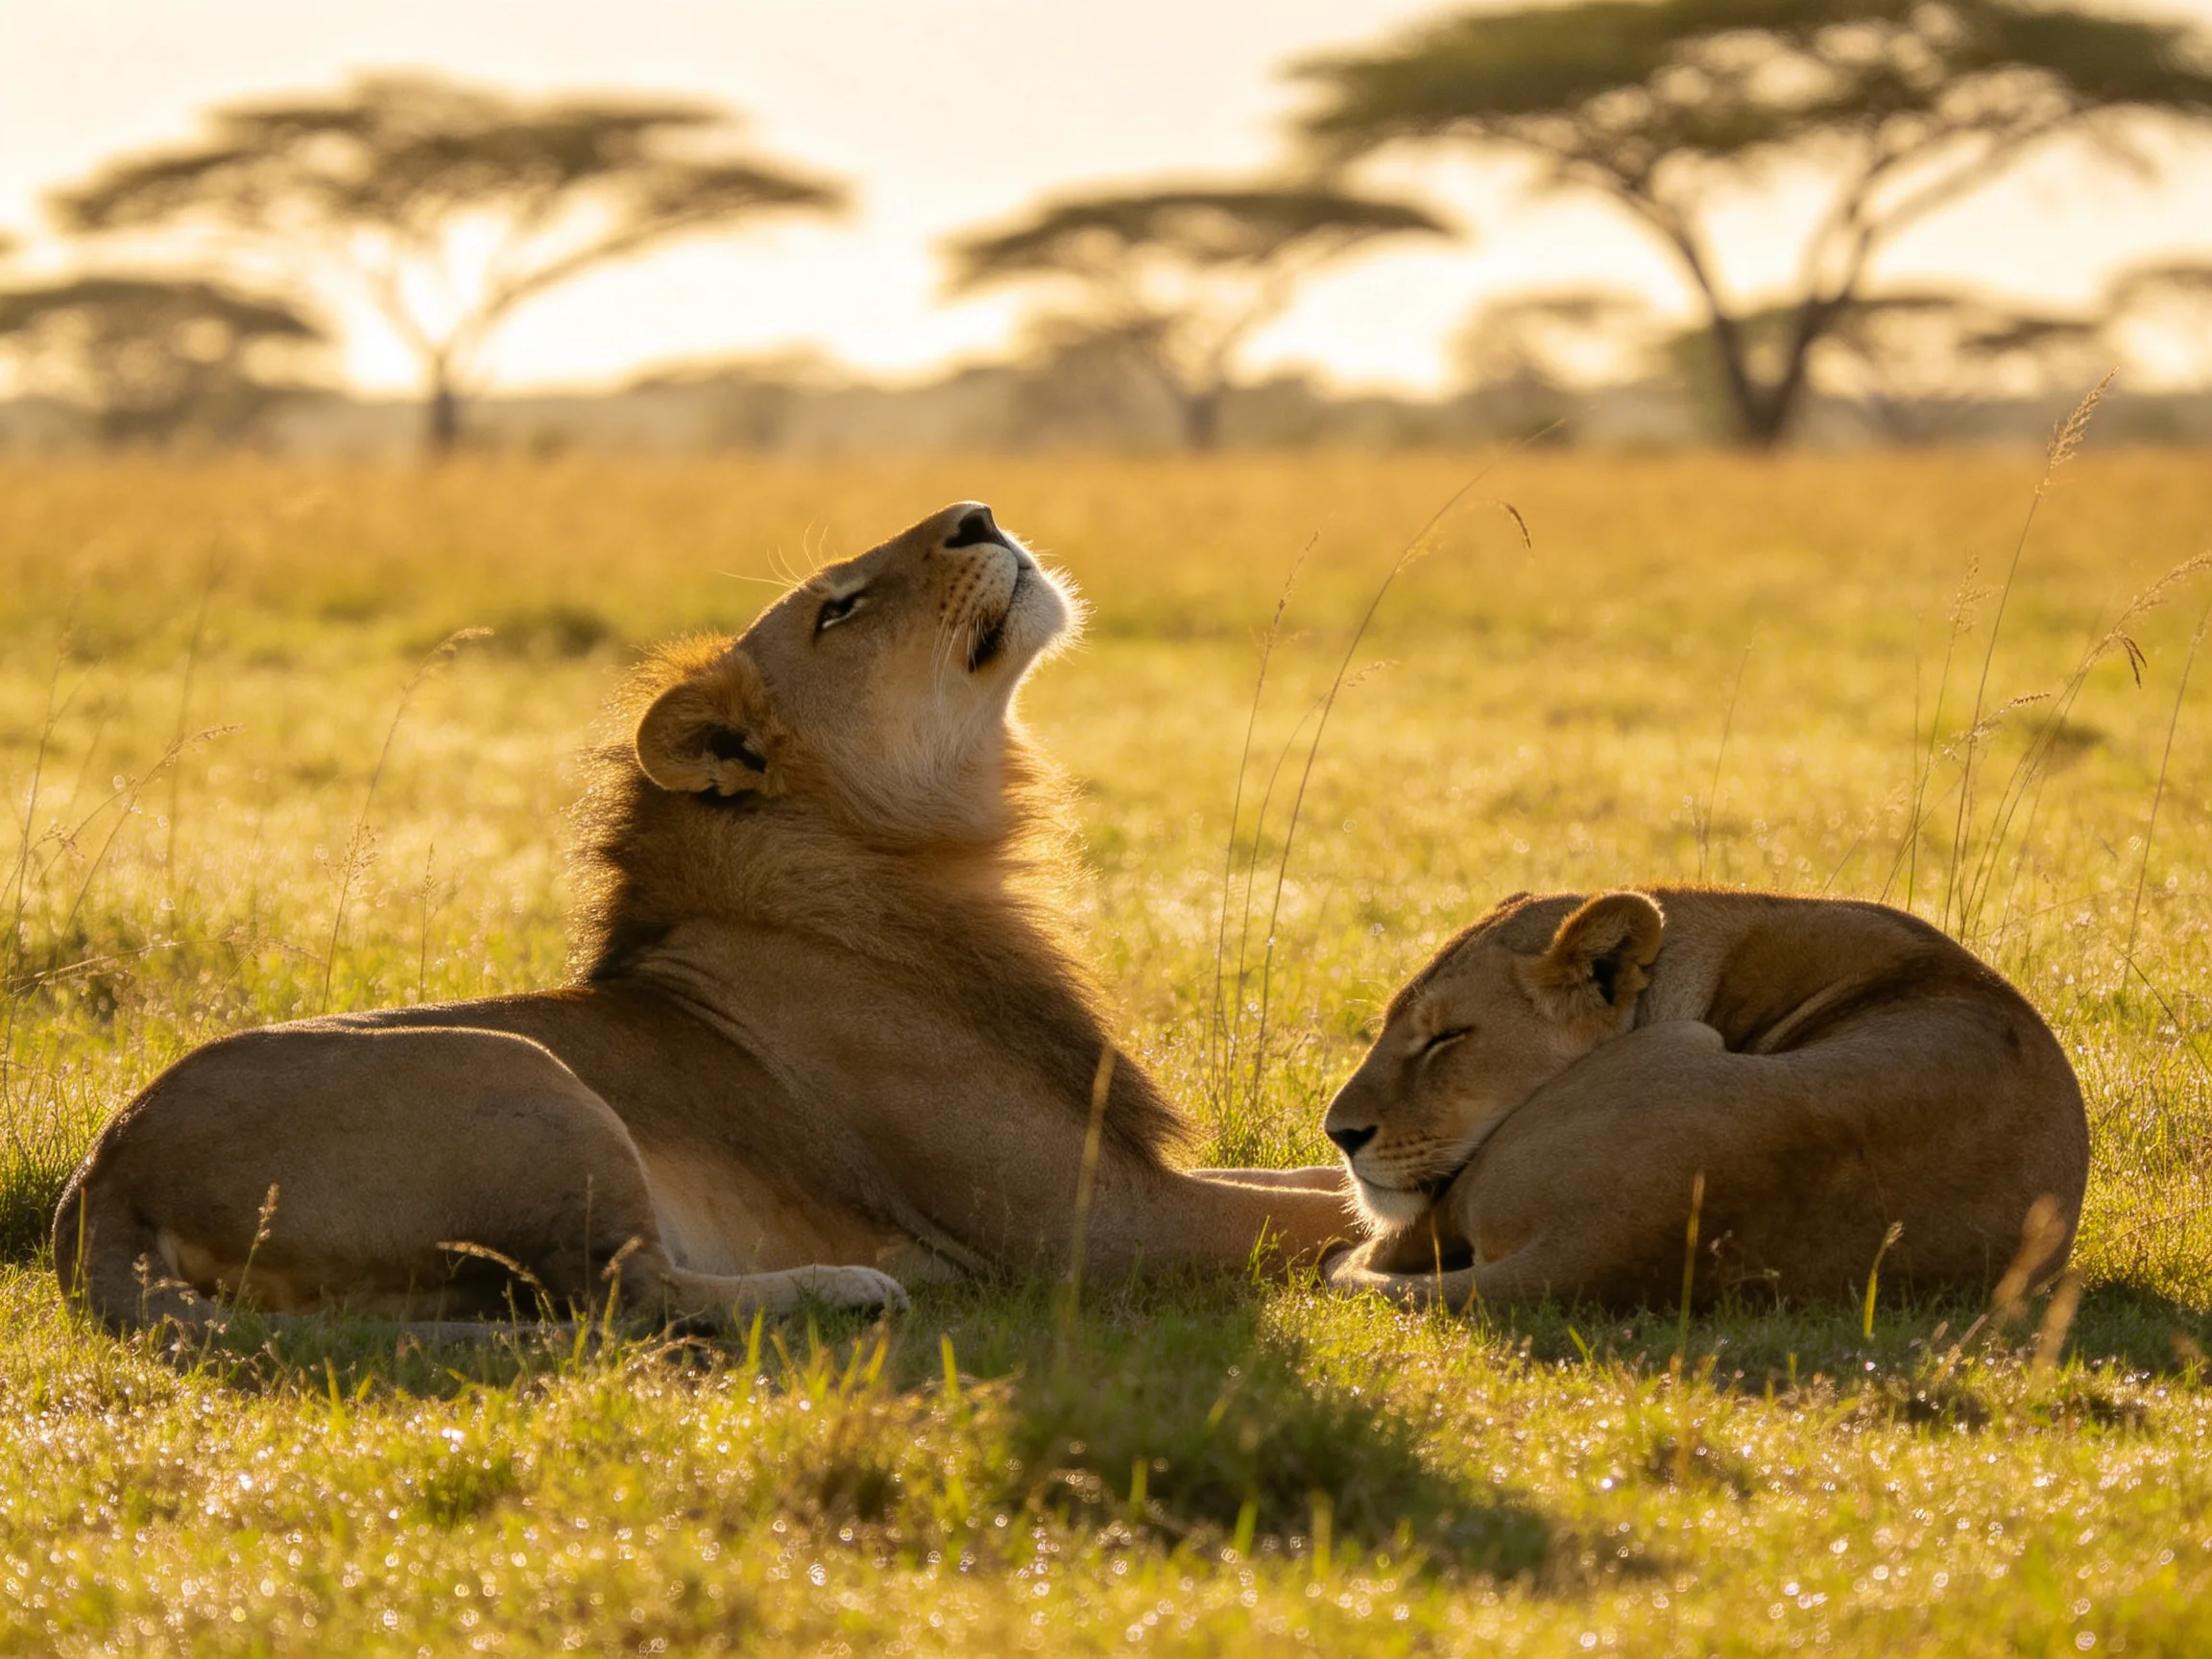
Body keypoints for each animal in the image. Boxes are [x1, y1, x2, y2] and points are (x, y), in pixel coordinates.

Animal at [53, 502, 1352, 1334]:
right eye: (836, 612)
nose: (978, 513)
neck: (929, 865)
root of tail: (106, 1176)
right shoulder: (1095, 1230)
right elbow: (1308, 1218)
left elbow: (1316, 1180)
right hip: (523, 1077)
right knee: (630, 1301)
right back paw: (848, 1290)